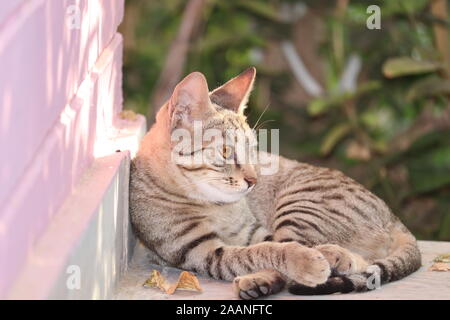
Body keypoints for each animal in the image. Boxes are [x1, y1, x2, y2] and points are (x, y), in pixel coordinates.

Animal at [131, 68, 422, 300]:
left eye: (252, 149)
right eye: (225, 151)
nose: (253, 180)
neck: (214, 204)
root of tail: (394, 218)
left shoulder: (253, 232)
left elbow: (274, 246)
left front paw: (327, 256)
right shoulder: (200, 250)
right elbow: (262, 252)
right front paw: (311, 260)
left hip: (300, 205)